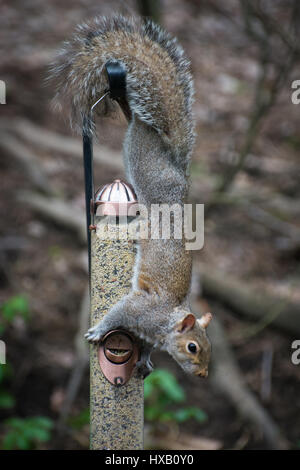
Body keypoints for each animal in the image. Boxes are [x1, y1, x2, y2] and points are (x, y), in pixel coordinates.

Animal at [51, 14, 211, 378]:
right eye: (193, 347)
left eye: (208, 348)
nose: (203, 375)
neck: (166, 323)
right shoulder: (139, 309)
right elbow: (118, 313)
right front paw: (98, 330)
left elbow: (146, 347)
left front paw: (145, 361)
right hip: (143, 165)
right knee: (137, 124)